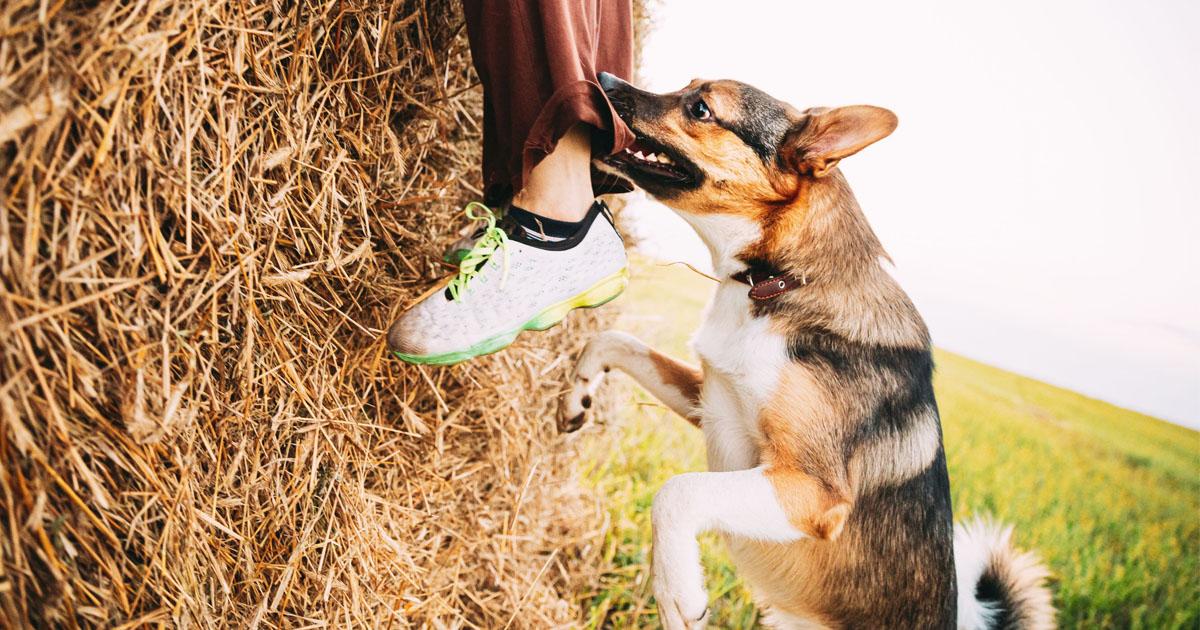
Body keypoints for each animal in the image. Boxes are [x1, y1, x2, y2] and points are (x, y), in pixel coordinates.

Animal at [556, 71, 1056, 624]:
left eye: (702, 108)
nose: (602, 79)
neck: (779, 281)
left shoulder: (810, 490)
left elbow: (677, 491)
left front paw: (677, 590)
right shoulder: (710, 401)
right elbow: (613, 339)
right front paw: (577, 395)